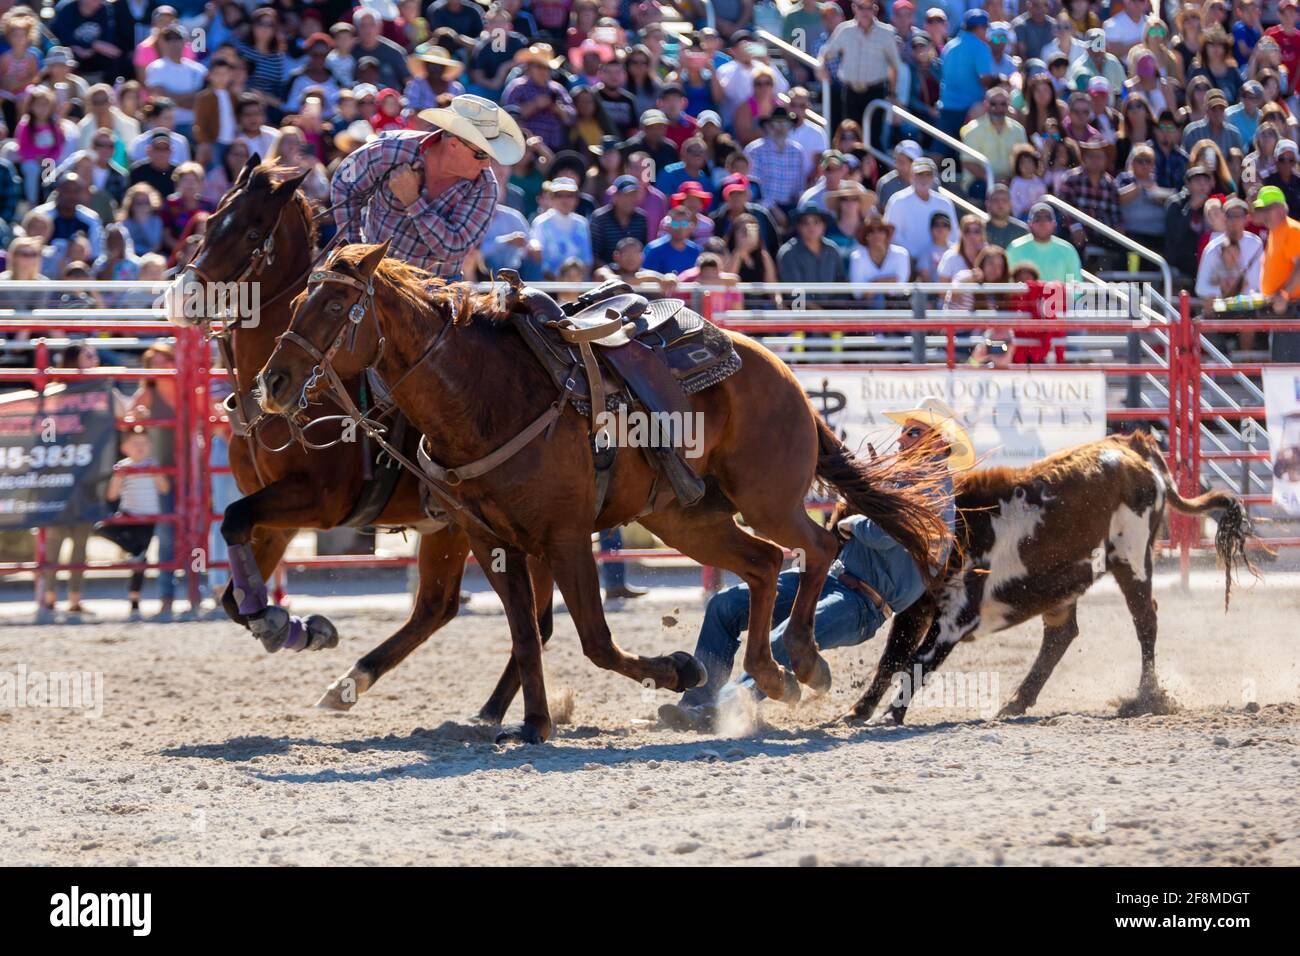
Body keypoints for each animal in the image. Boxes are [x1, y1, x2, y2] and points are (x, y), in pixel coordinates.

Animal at [176, 160, 548, 723]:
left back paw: (489, 709)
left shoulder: (321, 502)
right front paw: (294, 627)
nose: (186, 295)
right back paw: (356, 684)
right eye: (211, 220)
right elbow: (232, 592)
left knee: (530, 617)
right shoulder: (276, 515)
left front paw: (288, 625)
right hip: (452, 527)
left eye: (252, 233)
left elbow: (234, 526)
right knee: (436, 608)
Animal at [253, 243, 951, 743]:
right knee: (763, 564)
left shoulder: (564, 538)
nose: (274, 381)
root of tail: (785, 375)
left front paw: (677, 669)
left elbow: (593, 638)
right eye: (299, 301)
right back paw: (769, 674)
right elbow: (527, 633)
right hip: (687, 519)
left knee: (817, 547)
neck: (486, 394)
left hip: (767, 499)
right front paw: (533, 724)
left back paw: (801, 658)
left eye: (336, 309)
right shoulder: (493, 540)